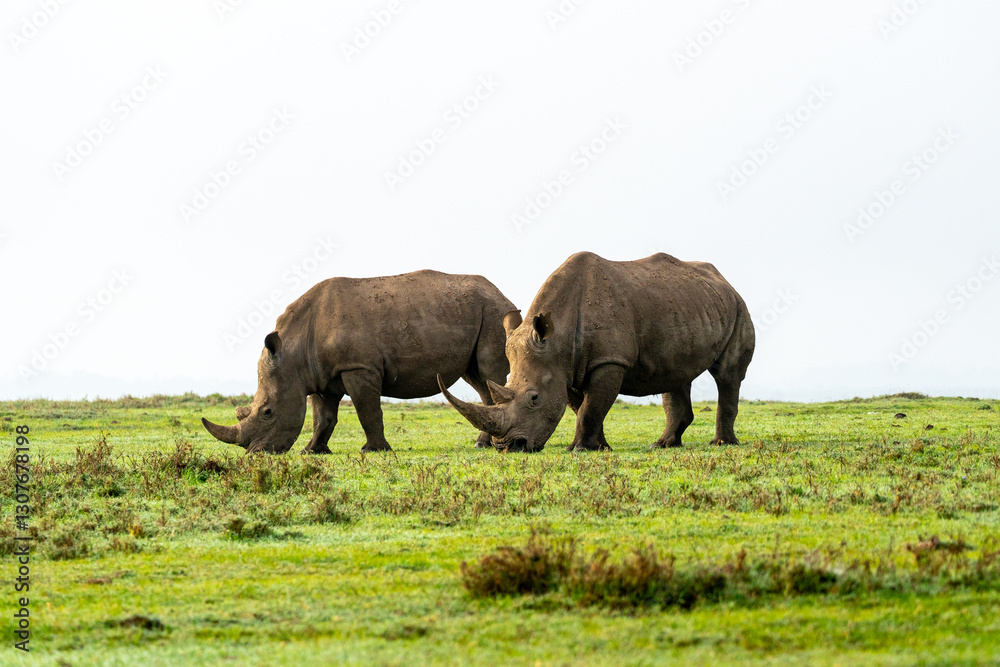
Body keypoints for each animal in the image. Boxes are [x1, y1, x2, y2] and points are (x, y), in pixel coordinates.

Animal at [202, 270, 516, 454]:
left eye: (267, 412)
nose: (255, 453)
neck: (293, 351)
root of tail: (502, 294)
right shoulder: (320, 376)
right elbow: (323, 417)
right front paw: (312, 451)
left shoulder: (358, 367)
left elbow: (368, 411)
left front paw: (374, 451)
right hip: (475, 312)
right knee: (478, 380)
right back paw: (481, 445)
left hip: (494, 314)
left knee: (488, 374)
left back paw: (488, 446)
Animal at [439, 252, 755, 452]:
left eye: (534, 398)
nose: (508, 447)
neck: (557, 338)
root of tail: (726, 282)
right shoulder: (565, 366)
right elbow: (585, 407)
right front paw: (599, 448)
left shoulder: (609, 361)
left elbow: (591, 407)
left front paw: (580, 449)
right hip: (686, 305)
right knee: (675, 375)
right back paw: (663, 445)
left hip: (738, 307)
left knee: (727, 375)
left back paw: (722, 444)